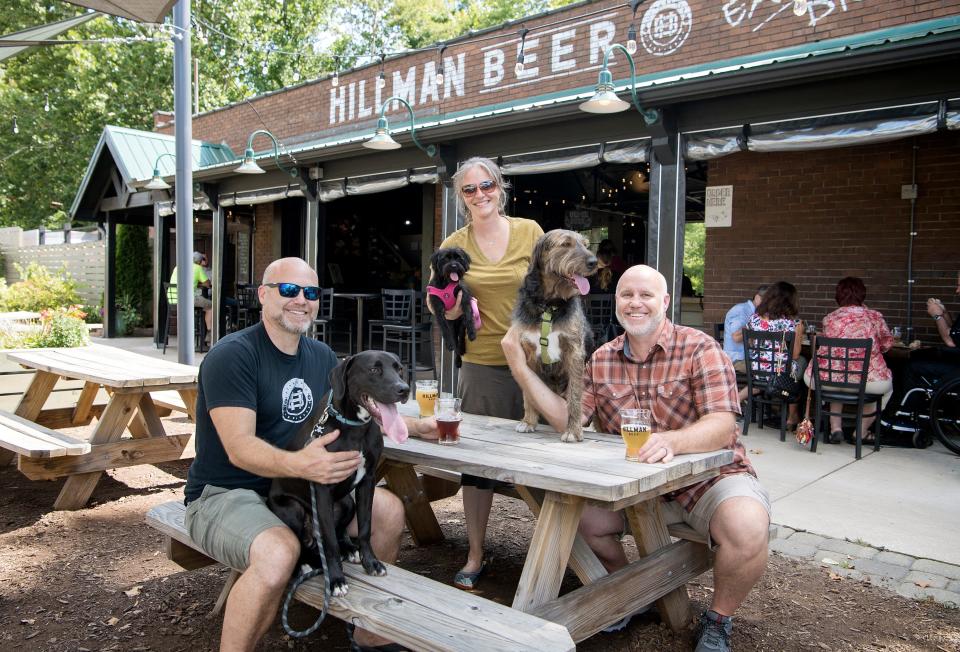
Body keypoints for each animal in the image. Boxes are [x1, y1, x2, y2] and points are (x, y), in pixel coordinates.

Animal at [266, 352, 408, 596]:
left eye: (399, 369)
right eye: (374, 369)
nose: (404, 389)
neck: (355, 427)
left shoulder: (367, 481)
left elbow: (365, 528)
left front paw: (371, 562)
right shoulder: (322, 488)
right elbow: (329, 542)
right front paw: (335, 579)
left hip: (346, 504)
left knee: (338, 530)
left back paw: (349, 549)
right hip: (292, 509)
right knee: (303, 541)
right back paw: (305, 563)